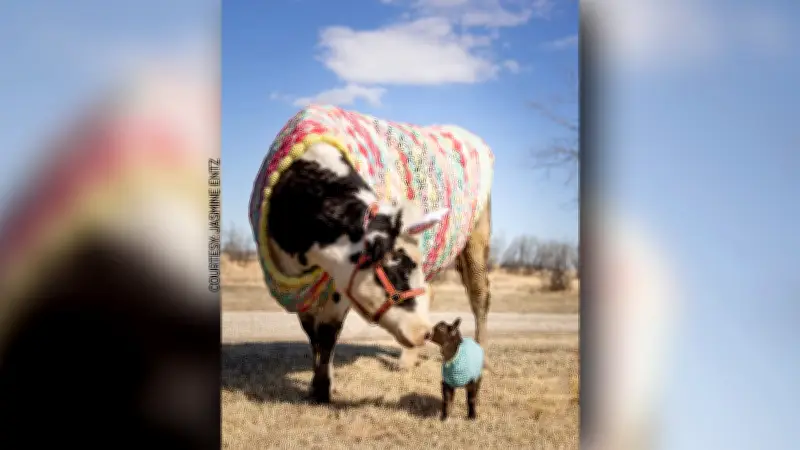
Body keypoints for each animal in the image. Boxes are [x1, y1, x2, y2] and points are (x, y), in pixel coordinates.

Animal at [249, 104, 494, 404]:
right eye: (397, 267)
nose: (425, 332)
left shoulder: (337, 287)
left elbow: (327, 335)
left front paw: (322, 390)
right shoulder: (302, 291)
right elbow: (312, 335)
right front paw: (315, 386)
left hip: (477, 238)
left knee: (480, 296)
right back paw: (407, 360)